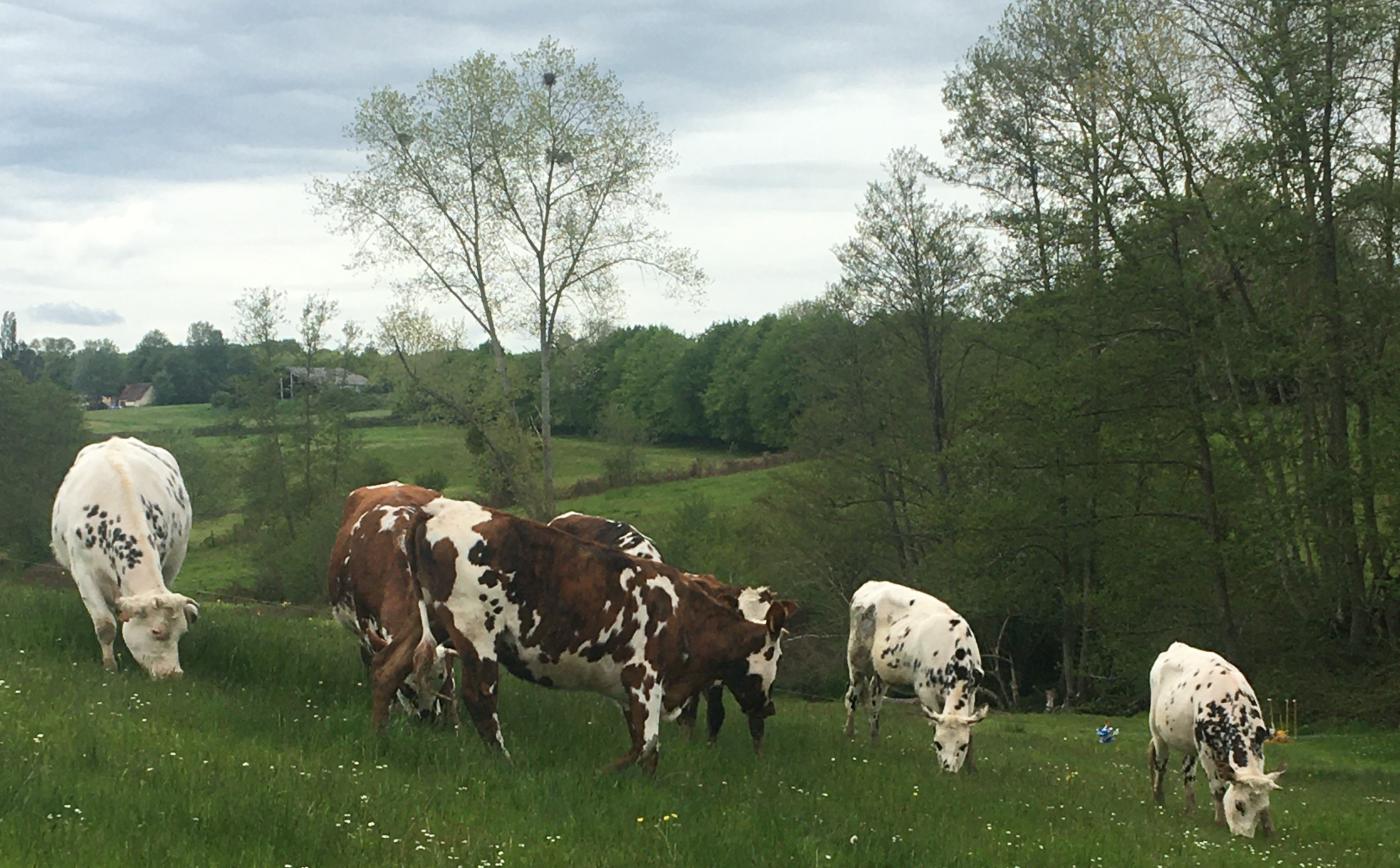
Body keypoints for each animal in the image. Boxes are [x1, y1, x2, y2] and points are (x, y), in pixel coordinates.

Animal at [840, 582, 985, 772]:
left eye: (962, 745)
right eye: (938, 744)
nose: (948, 770)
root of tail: (871, 583)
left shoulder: (972, 692)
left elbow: (971, 729)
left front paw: (971, 768)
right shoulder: (925, 691)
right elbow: (934, 724)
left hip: (882, 671)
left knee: (874, 699)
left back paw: (875, 741)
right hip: (856, 655)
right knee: (852, 695)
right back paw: (849, 734)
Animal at [1142, 641, 1282, 840]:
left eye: (1262, 806)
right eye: (1239, 805)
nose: (1244, 837)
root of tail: (1176, 645)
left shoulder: (1259, 747)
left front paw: (1269, 829)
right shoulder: (1206, 750)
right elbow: (1218, 788)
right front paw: (1220, 821)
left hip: (1189, 743)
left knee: (1188, 772)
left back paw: (1190, 809)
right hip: (1158, 733)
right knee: (1160, 765)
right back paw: (1159, 799)